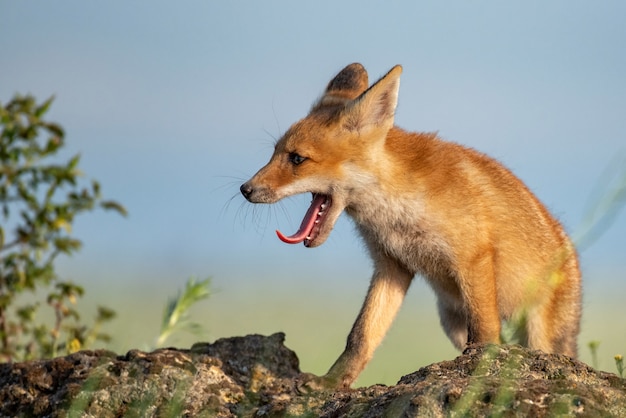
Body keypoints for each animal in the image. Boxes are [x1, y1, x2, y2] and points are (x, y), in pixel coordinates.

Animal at [239, 63, 580, 390]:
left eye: (297, 158)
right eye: (274, 152)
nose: (245, 189)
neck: (394, 214)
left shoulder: (472, 257)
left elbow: (484, 330)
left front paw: (480, 367)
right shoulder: (391, 265)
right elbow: (361, 335)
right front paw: (332, 382)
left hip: (541, 332)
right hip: (450, 320)